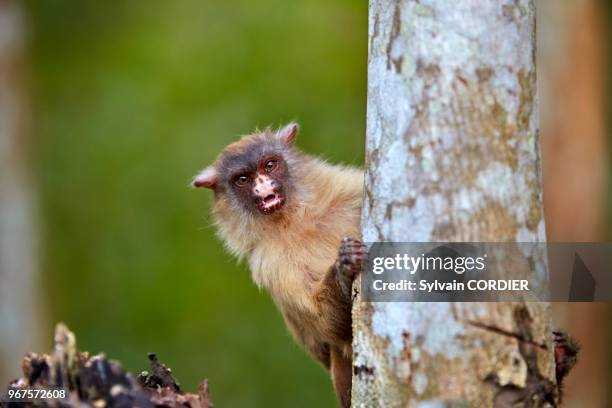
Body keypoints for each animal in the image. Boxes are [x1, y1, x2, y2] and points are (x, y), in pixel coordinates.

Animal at [192, 122, 364, 406]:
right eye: (243, 179)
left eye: (270, 165)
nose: (263, 188)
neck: (296, 223)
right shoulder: (270, 262)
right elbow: (328, 329)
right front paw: (343, 269)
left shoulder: (346, 190)